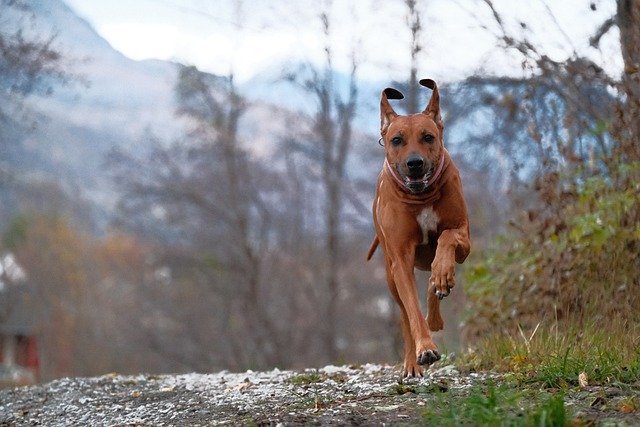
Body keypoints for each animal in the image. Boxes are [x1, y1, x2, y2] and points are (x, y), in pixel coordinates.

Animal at [364, 79, 470, 378]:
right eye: (397, 140)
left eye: (428, 137)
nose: (414, 163)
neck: (421, 196)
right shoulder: (401, 260)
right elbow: (412, 310)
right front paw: (425, 349)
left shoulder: (464, 238)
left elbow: (447, 237)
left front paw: (442, 273)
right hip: (390, 274)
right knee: (404, 313)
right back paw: (412, 362)